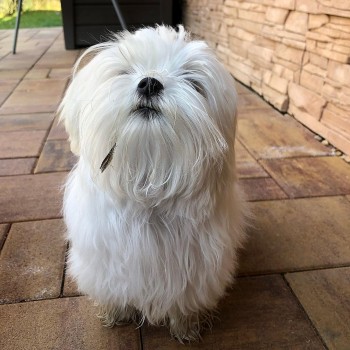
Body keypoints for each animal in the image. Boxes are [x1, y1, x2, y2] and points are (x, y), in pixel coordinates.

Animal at [59, 25, 246, 342]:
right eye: (124, 72)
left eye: (193, 82)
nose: (149, 83)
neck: (148, 185)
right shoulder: (104, 261)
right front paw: (116, 312)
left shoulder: (198, 267)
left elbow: (186, 299)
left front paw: (186, 326)